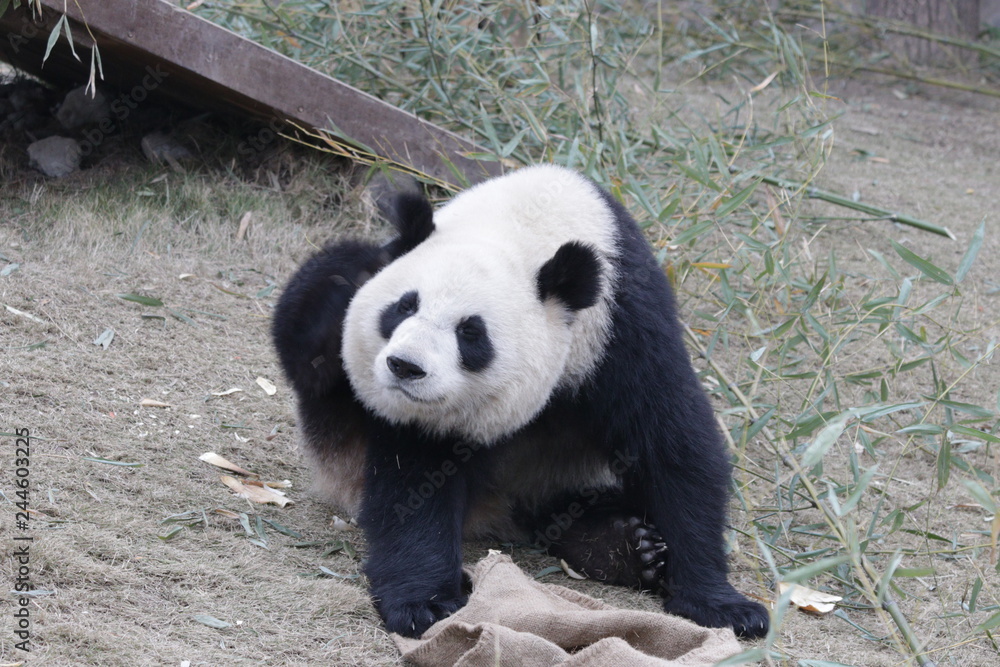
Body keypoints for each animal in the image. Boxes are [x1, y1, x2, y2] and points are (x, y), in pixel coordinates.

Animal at [272, 164, 769, 639]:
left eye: (470, 332)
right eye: (403, 307)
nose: (405, 366)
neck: (528, 224)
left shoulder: (624, 325)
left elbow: (673, 446)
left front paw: (722, 605)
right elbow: (414, 479)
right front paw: (425, 603)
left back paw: (627, 546)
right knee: (318, 316)